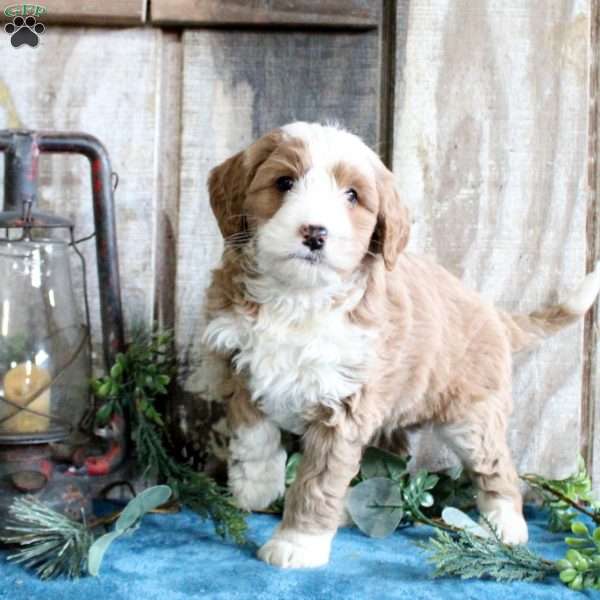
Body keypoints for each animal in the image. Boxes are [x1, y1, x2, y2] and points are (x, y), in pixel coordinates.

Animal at [203, 120, 600, 568]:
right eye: (284, 182)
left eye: (352, 196)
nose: (315, 232)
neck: (298, 298)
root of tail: (492, 313)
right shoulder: (240, 365)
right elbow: (252, 433)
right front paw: (255, 486)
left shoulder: (344, 405)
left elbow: (318, 479)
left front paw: (297, 543)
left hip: (472, 416)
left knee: (496, 465)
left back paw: (506, 525)